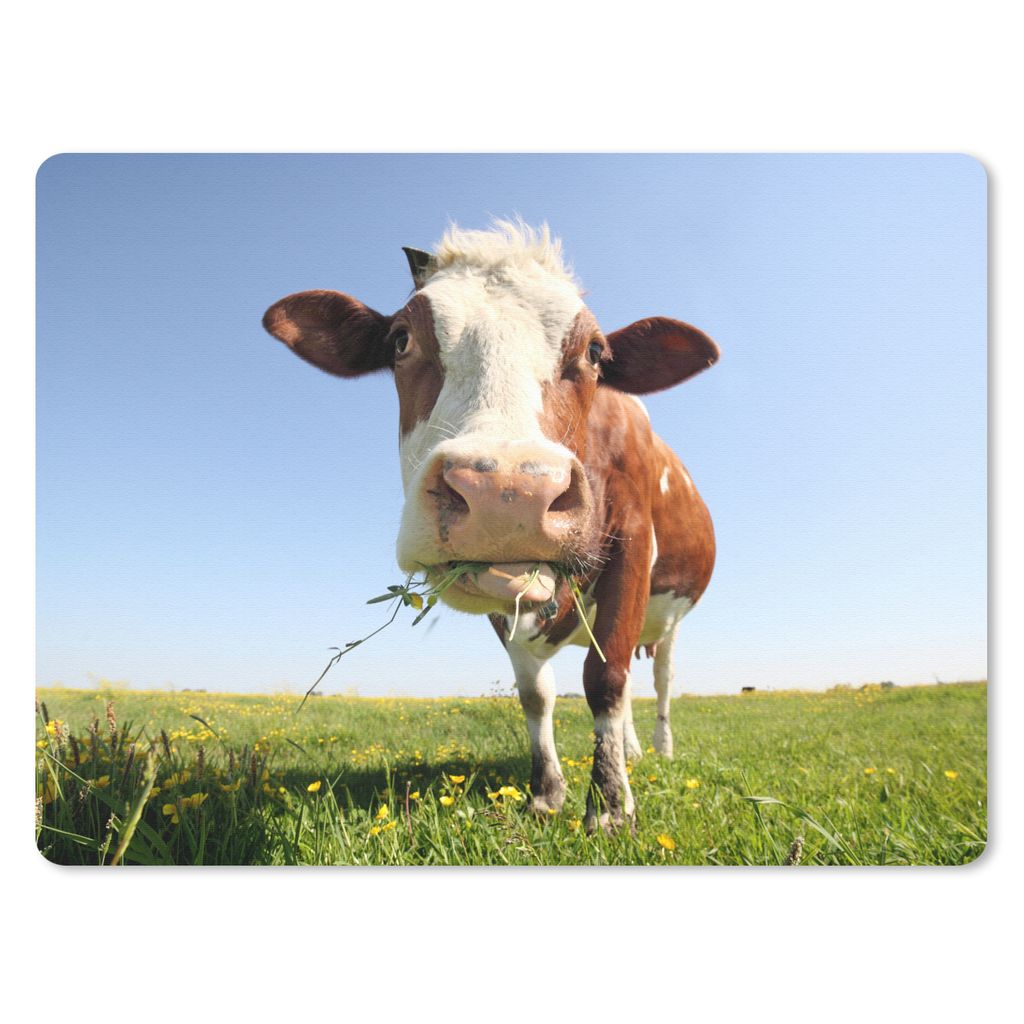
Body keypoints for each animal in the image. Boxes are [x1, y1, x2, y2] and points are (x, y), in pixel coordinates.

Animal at [262, 221, 718, 832]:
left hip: (667, 621)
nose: (508, 493)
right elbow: (535, 693)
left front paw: (609, 806)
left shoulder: (631, 545)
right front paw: (548, 792)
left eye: (596, 351)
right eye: (401, 340)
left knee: (658, 681)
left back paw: (659, 752)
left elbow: (606, 680)